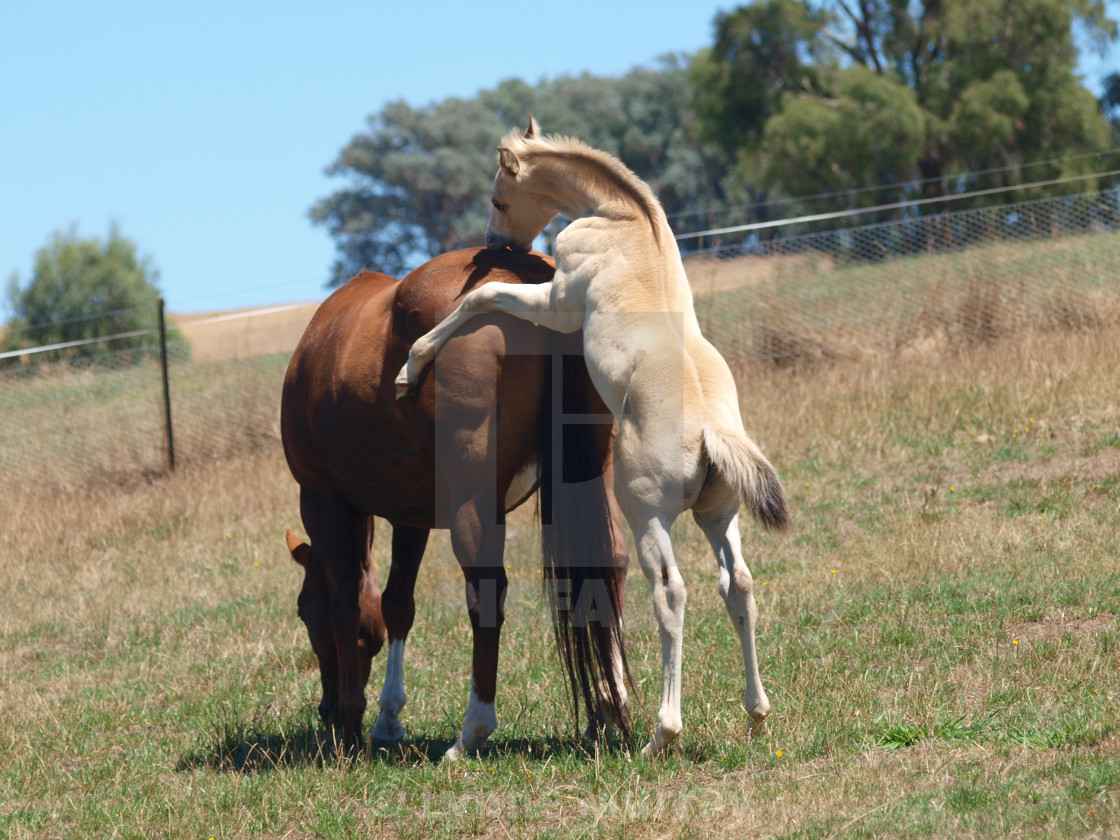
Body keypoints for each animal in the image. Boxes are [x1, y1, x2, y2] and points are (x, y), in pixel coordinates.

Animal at [278, 246, 631, 761]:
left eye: (304, 609)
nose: (323, 711)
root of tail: (531, 275)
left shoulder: (324, 501)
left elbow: (346, 605)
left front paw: (350, 722)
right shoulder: (411, 514)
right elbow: (396, 603)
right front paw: (387, 718)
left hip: (470, 503)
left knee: (487, 591)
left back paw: (472, 732)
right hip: (591, 475)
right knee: (610, 566)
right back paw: (606, 705)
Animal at [394, 117, 788, 757]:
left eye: (500, 197)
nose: (495, 240)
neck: (625, 221)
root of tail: (710, 431)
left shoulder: (557, 304)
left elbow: (481, 297)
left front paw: (412, 363)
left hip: (645, 513)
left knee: (671, 594)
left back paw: (662, 733)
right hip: (718, 517)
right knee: (739, 587)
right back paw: (756, 715)